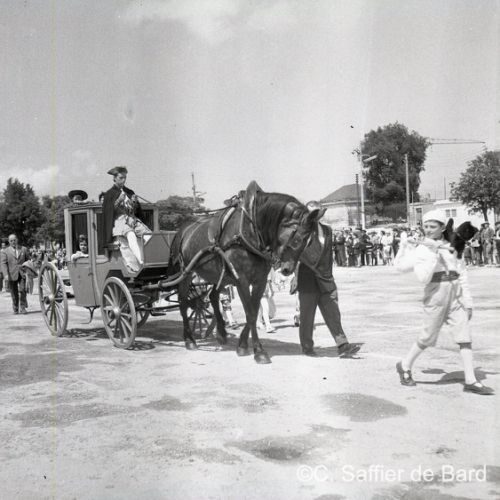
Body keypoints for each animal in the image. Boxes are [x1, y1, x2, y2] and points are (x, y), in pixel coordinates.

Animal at [168, 181, 320, 364]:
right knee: (183, 303)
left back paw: (221, 333)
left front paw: (242, 345)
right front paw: (259, 351)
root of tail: (183, 230)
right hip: (186, 274)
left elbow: (253, 310)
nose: (287, 269)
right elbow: (251, 313)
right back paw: (189, 339)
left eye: (309, 242)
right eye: (298, 240)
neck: (250, 230)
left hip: (220, 276)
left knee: (212, 297)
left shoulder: (260, 280)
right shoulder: (241, 280)